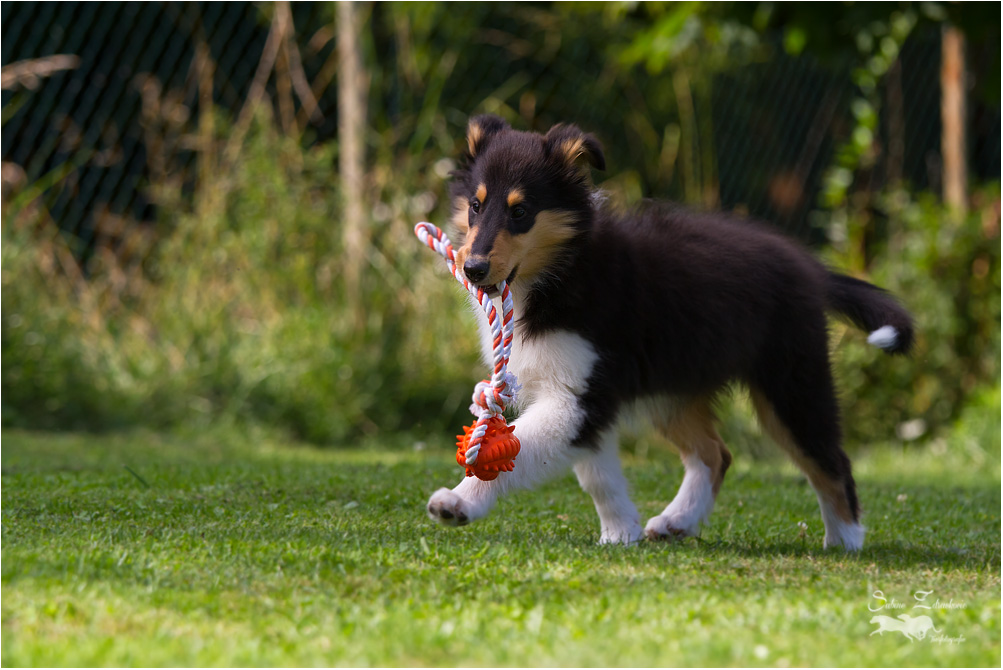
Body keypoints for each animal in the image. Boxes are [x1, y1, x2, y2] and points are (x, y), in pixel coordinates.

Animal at [427, 113, 914, 549]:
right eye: (476, 205)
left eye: (521, 211)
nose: (472, 268)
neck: (563, 269)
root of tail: (809, 267)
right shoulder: (585, 397)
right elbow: (598, 474)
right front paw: (620, 531)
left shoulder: (579, 393)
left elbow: (518, 446)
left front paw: (458, 502)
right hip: (673, 389)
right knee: (716, 455)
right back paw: (677, 521)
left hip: (792, 384)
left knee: (830, 461)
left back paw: (845, 539)